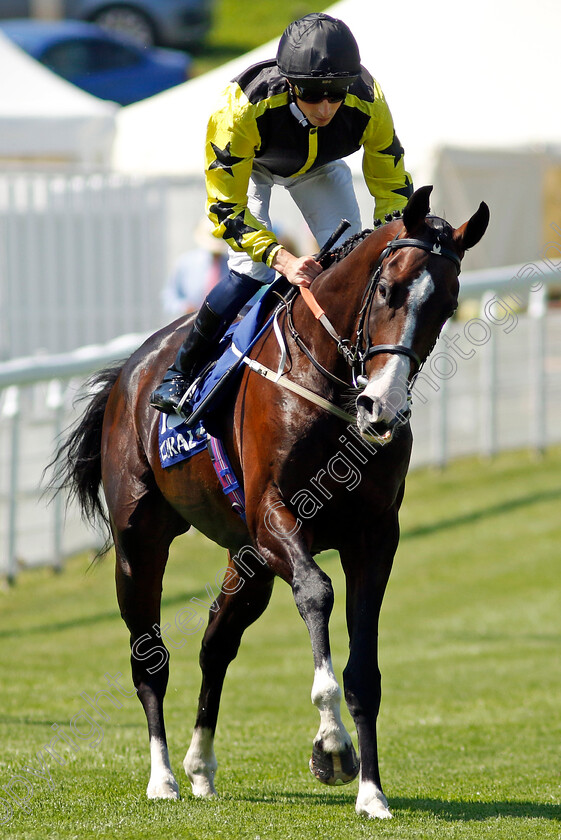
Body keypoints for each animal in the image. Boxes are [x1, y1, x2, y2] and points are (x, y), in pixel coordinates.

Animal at [53, 185, 490, 820]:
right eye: (388, 289)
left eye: (449, 302)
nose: (382, 408)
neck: (332, 387)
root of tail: (130, 371)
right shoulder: (276, 516)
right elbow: (316, 592)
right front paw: (331, 747)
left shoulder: (373, 537)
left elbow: (365, 670)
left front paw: (372, 792)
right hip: (141, 544)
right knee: (149, 657)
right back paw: (163, 776)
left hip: (249, 559)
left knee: (216, 644)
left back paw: (201, 767)